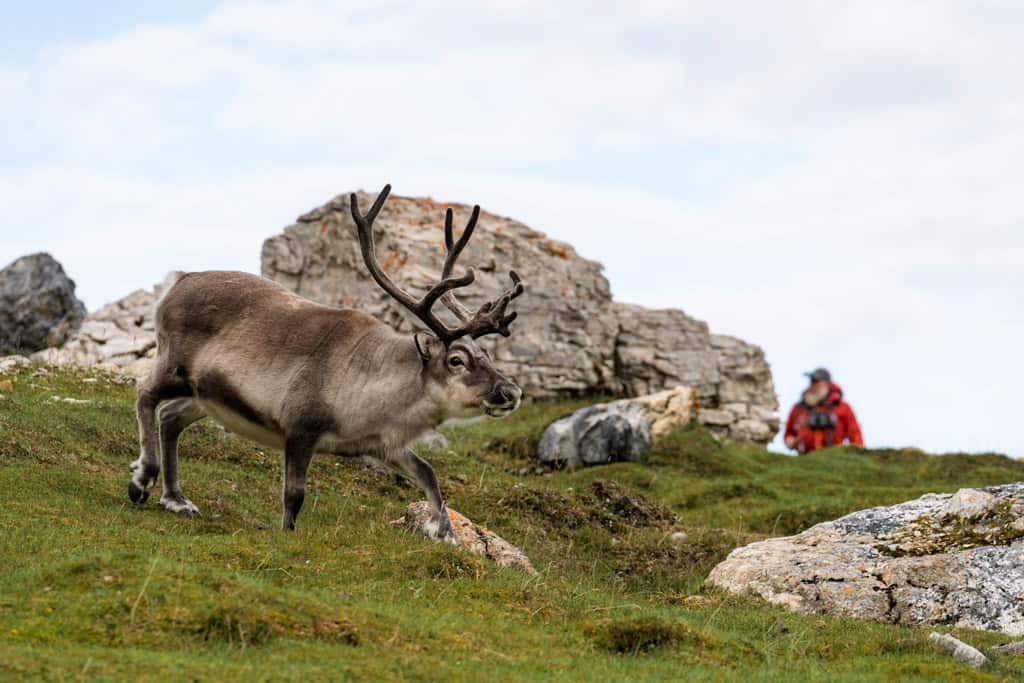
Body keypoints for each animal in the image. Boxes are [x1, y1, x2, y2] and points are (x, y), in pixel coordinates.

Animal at [127, 184, 524, 541]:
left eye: (487, 355)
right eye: (457, 360)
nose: (512, 392)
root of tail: (178, 282)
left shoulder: (383, 444)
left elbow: (428, 473)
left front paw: (445, 533)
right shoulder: (301, 427)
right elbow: (294, 494)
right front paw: (287, 533)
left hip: (205, 396)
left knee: (170, 418)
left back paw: (175, 499)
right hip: (173, 363)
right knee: (145, 394)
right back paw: (142, 479)